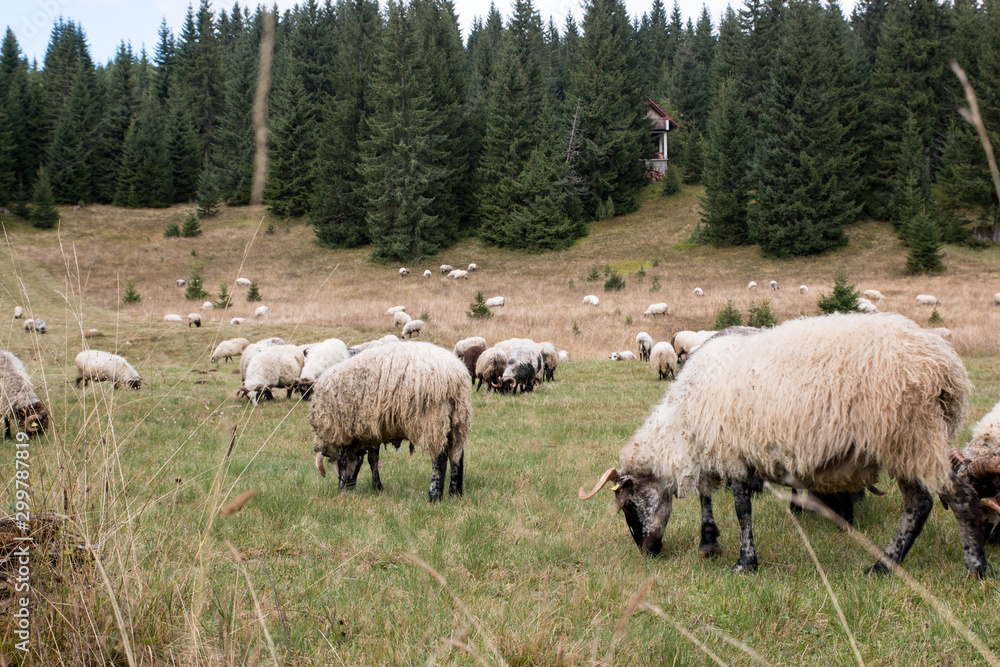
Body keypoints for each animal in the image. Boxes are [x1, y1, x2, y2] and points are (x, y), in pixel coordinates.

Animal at [310, 341, 470, 501]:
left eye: (332, 462)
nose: (350, 486)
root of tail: (454, 375)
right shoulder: (372, 432)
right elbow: (372, 459)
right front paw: (376, 487)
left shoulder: (342, 432)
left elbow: (346, 461)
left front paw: (343, 487)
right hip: (458, 419)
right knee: (457, 455)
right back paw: (455, 493)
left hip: (432, 420)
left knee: (439, 458)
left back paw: (434, 496)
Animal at [579, 313, 991, 576]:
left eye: (628, 505)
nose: (648, 552)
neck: (682, 422)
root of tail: (946, 368)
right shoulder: (716, 449)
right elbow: (707, 497)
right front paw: (709, 540)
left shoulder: (733, 452)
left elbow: (741, 509)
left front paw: (744, 563)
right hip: (912, 442)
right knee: (922, 504)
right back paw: (888, 565)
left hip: (909, 436)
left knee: (947, 499)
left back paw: (968, 567)